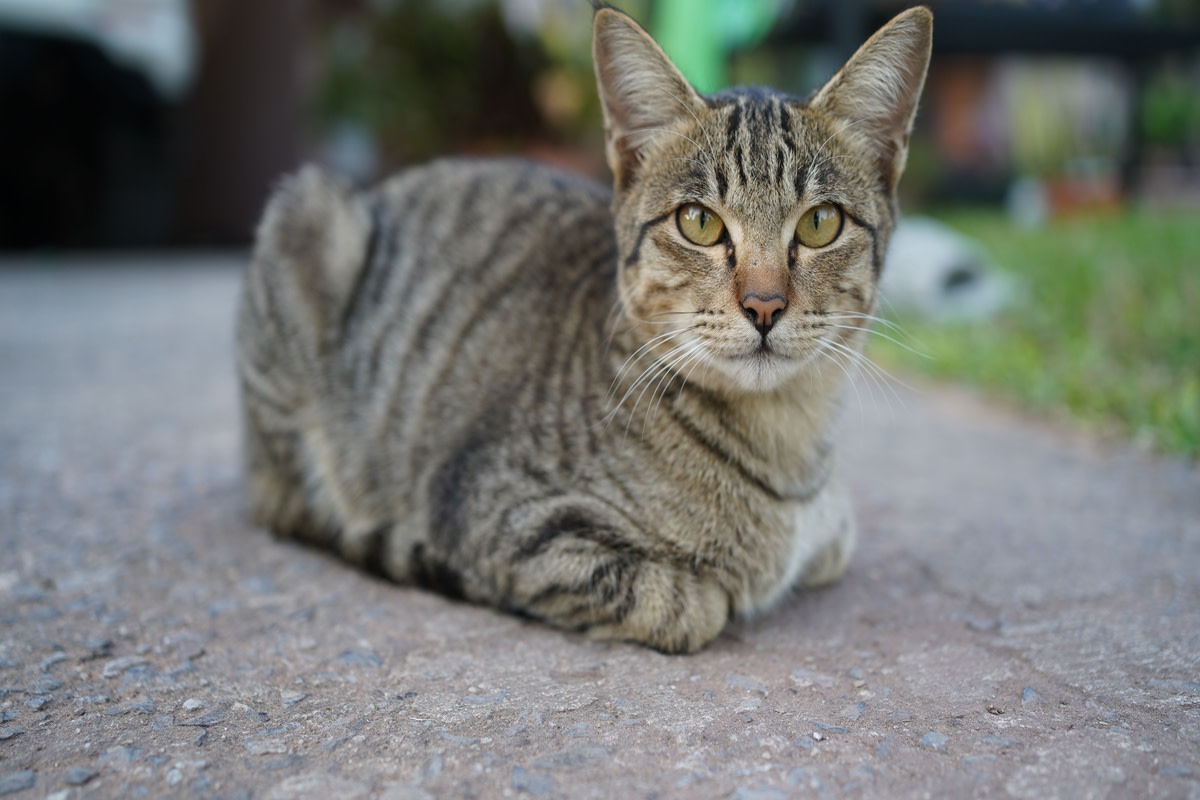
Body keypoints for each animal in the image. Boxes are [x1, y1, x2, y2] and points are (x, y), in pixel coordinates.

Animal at [231, 4, 926, 657]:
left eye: (819, 224)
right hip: (309, 215)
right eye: (699, 222)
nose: (763, 305)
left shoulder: (832, 529)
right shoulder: (501, 513)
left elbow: (834, 541)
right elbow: (690, 605)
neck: (789, 440)